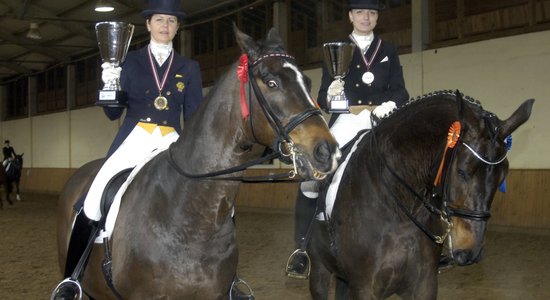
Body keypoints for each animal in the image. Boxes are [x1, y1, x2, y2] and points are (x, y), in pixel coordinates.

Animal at [306, 91, 536, 300]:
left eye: (502, 177)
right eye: (462, 171)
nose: (470, 253)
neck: (397, 211)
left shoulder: (424, 285)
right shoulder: (364, 287)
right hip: (319, 271)